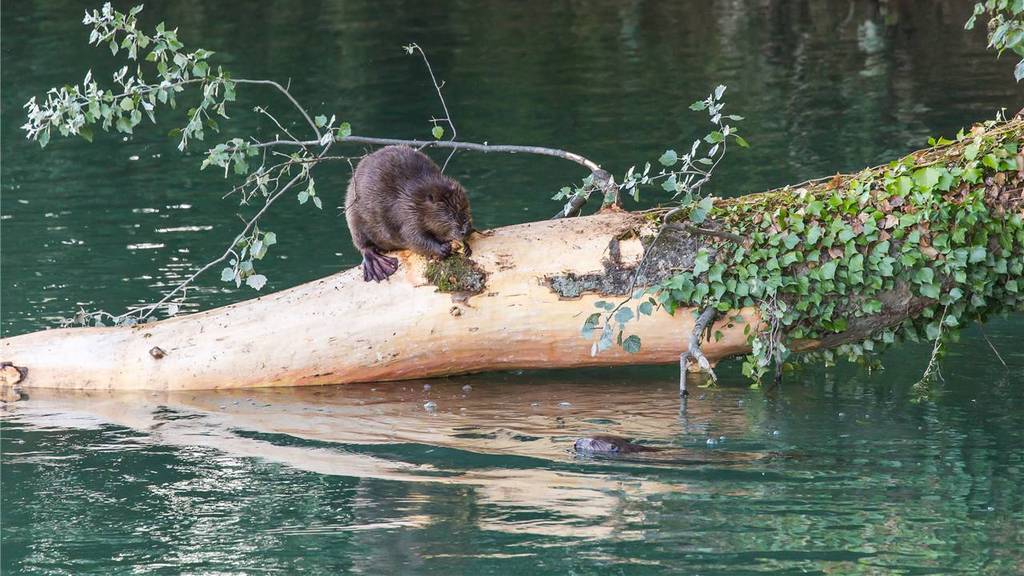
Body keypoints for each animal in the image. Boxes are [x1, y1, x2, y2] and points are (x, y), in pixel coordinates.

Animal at [344, 144, 471, 280]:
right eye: (450, 214)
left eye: (464, 208)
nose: (464, 231)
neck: (416, 198)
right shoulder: (407, 215)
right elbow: (413, 238)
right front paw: (443, 248)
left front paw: (466, 246)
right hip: (354, 218)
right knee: (364, 247)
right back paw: (378, 265)